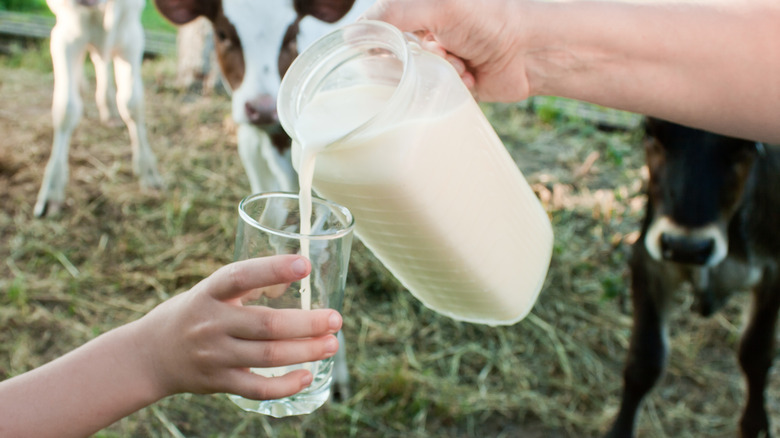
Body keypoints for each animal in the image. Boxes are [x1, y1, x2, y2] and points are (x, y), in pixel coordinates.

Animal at [608, 119, 780, 438]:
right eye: (651, 130)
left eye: (746, 143)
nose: (685, 247)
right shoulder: (649, 260)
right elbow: (644, 361)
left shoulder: (774, 271)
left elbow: (756, 352)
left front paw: (755, 425)